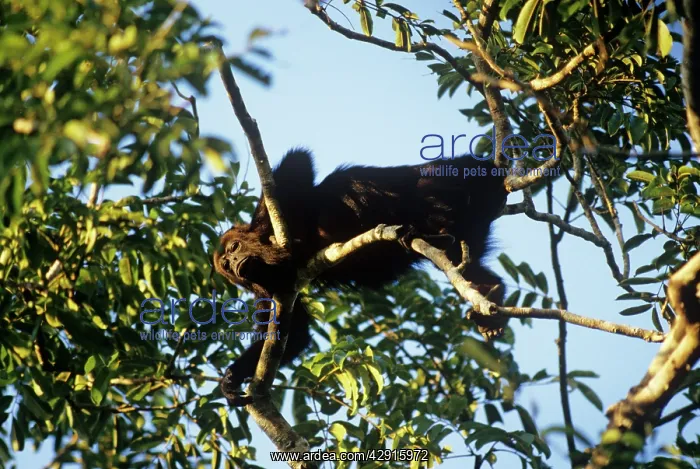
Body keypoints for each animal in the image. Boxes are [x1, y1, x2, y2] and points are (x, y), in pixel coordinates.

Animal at [214, 148, 509, 401]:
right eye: (226, 265)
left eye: (234, 247)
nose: (235, 261)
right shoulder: (271, 290)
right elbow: (295, 334)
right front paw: (231, 377)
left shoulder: (266, 221)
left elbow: (298, 163)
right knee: (461, 262)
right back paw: (490, 295)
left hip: (447, 179)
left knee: (410, 191)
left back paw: (429, 229)